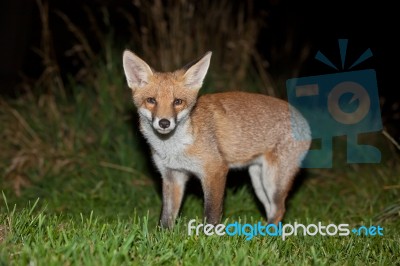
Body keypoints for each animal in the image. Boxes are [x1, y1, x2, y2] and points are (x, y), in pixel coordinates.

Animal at [122, 50, 312, 229]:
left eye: (177, 102)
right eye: (151, 100)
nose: (164, 122)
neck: (173, 148)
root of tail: (304, 120)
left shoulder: (215, 170)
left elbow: (211, 215)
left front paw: (208, 237)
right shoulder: (172, 175)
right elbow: (166, 218)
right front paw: (162, 237)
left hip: (273, 180)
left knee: (280, 209)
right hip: (258, 179)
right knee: (272, 209)